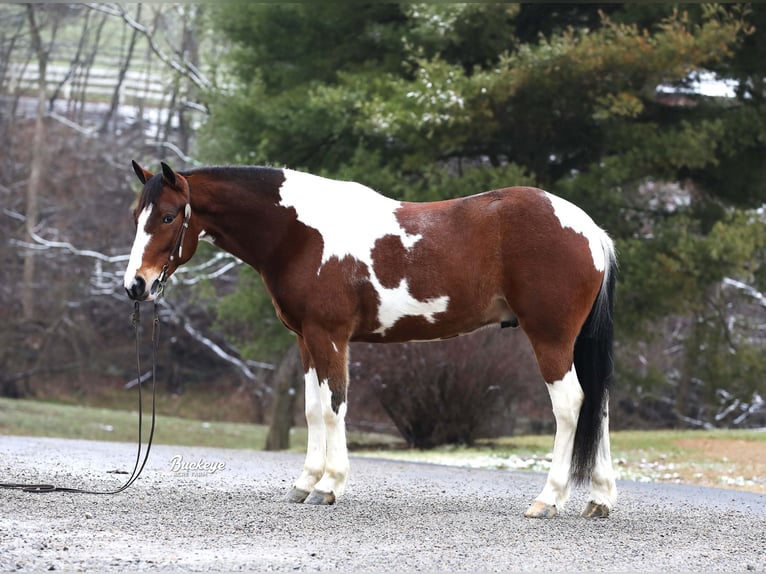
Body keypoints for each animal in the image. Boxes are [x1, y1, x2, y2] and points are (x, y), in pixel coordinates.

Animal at [123, 160, 620, 520]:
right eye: (136, 217)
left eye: (168, 216)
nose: (135, 285)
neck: (300, 233)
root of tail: (591, 231)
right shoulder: (306, 340)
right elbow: (312, 409)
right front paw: (305, 483)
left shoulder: (330, 336)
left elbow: (334, 406)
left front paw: (329, 486)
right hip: (574, 342)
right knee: (598, 405)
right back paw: (599, 500)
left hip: (550, 338)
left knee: (571, 405)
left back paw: (548, 500)